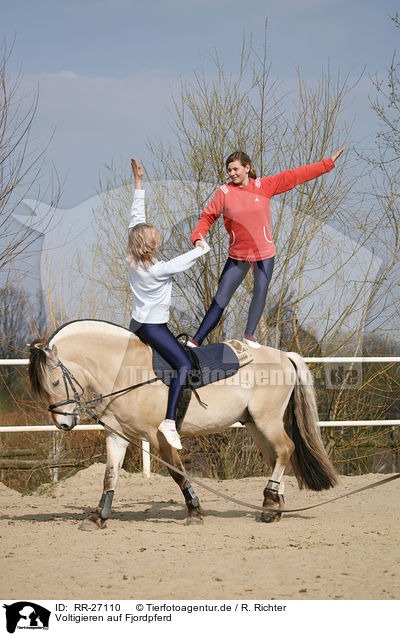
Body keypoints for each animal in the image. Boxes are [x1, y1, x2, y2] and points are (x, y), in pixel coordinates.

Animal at [27, 320, 338, 528]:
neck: (124, 369)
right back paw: (274, 505)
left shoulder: (159, 436)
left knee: (286, 449)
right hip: (254, 424)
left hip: (267, 420)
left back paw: (271, 502)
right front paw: (97, 517)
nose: (63, 423)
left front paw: (194, 512)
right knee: (275, 456)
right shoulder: (117, 436)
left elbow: (177, 473)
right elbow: (109, 476)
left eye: (55, 382)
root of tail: (284, 356)